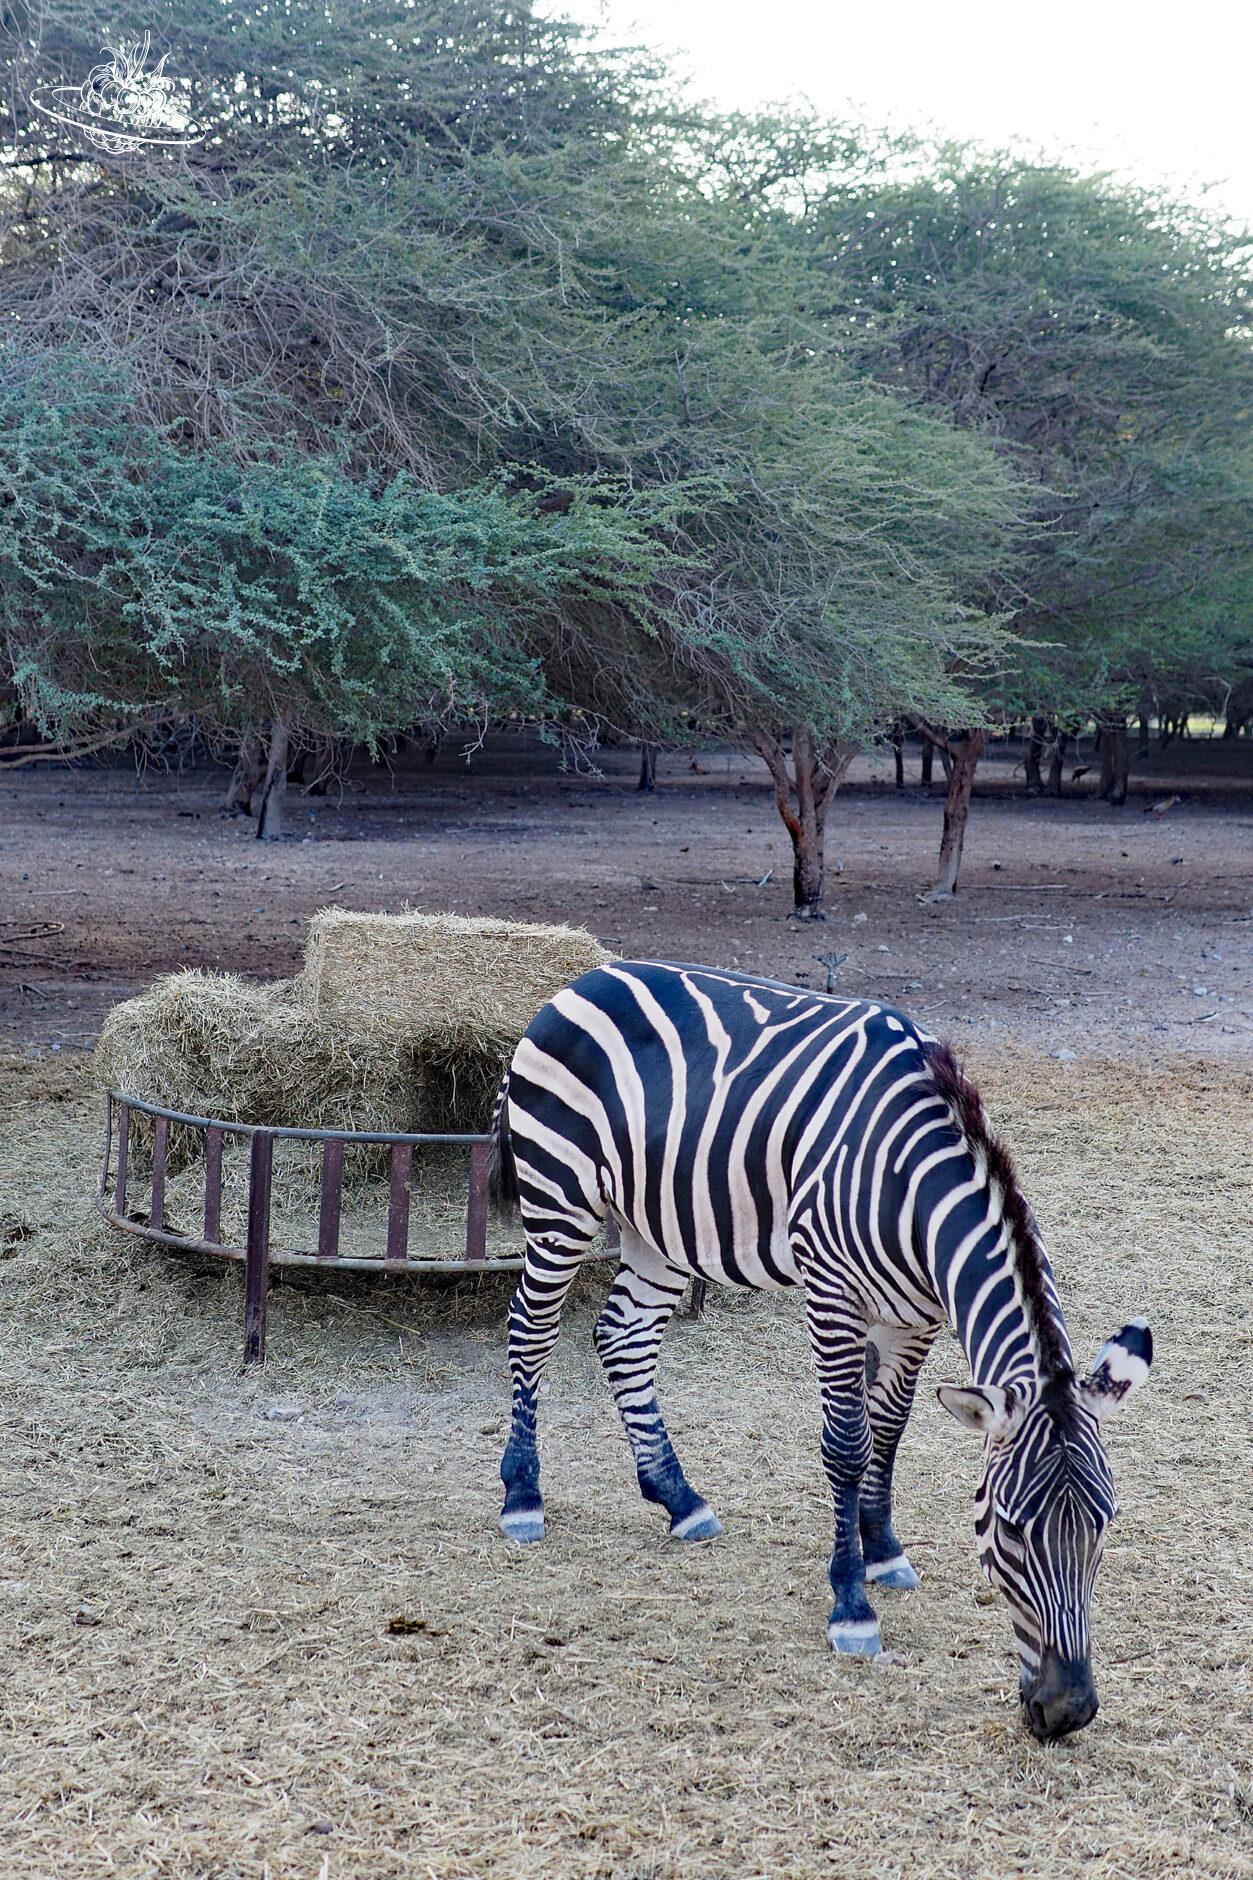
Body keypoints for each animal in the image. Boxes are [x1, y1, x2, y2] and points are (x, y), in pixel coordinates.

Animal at [489, 959, 1153, 1742]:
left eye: (1104, 1525)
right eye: (1010, 1529)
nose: (1067, 1710)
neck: (914, 1187)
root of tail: (586, 977)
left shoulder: (915, 1320)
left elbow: (888, 1436)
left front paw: (883, 1551)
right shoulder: (832, 1296)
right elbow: (847, 1446)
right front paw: (851, 1604)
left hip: (656, 1226)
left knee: (622, 1335)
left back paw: (678, 1498)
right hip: (559, 1201)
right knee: (530, 1331)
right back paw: (523, 1496)